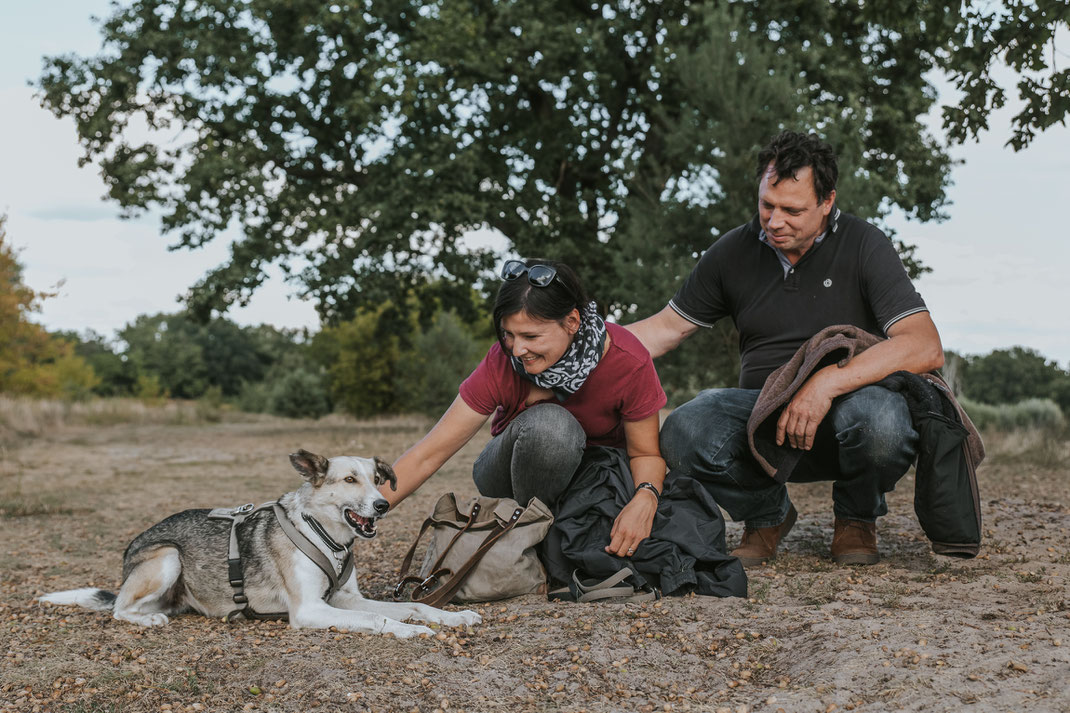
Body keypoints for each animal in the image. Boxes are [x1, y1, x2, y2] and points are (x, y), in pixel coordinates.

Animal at [37, 447, 481, 633]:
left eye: (376, 479)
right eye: (350, 480)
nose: (382, 505)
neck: (324, 537)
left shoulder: (344, 600)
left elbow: (413, 606)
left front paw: (452, 617)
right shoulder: (310, 611)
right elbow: (381, 619)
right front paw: (412, 632)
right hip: (168, 557)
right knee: (118, 610)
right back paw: (147, 619)